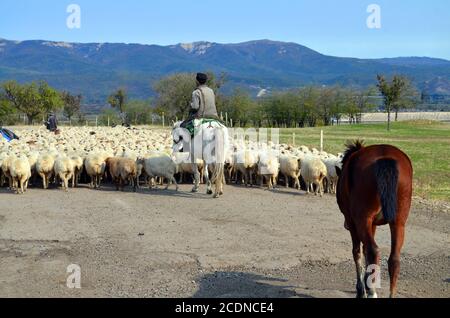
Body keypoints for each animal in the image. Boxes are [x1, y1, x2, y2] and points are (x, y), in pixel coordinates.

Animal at [336, 140, 414, 296]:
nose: (344, 225)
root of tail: (385, 158)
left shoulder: (353, 222)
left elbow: (357, 252)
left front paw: (361, 288)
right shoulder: (372, 224)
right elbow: (365, 250)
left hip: (361, 219)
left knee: (373, 250)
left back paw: (371, 292)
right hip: (398, 221)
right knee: (394, 258)